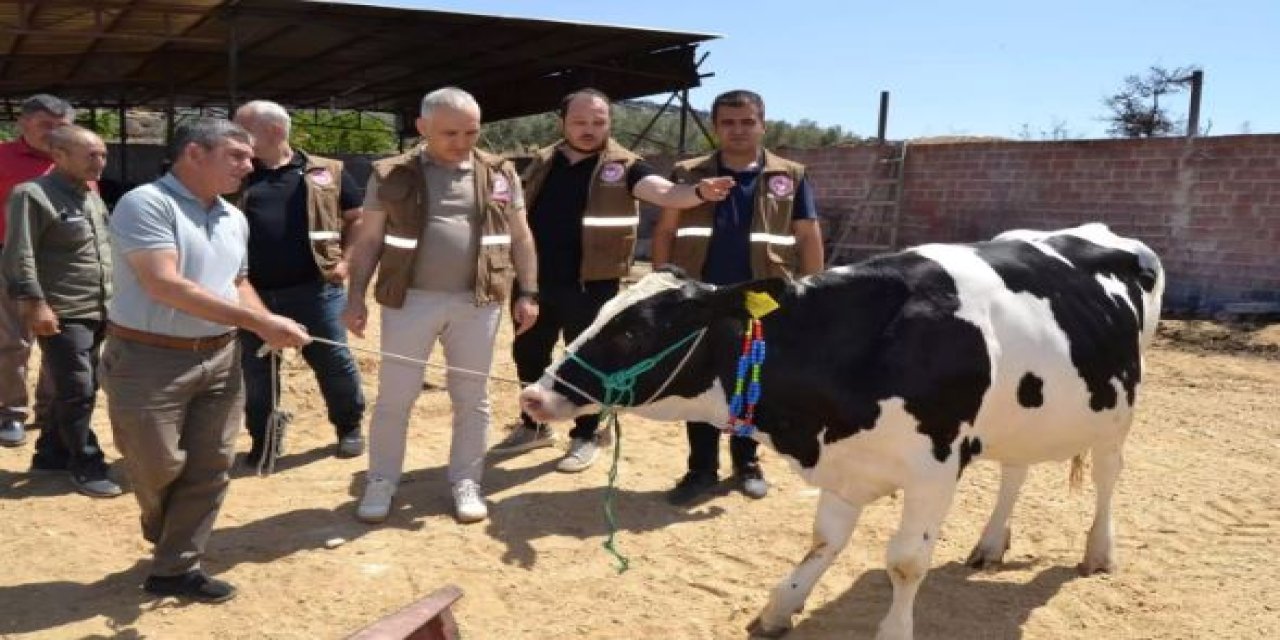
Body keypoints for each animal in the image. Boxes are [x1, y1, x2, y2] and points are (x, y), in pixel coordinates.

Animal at [517, 222, 1162, 637]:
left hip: (1119, 413)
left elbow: (906, 562)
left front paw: (893, 631)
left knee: (1108, 476)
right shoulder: (845, 463)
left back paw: (1098, 552)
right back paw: (989, 545)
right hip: (1024, 413)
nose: (534, 394)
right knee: (1015, 470)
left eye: (632, 330)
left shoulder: (934, 467)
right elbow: (823, 541)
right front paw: (781, 608)